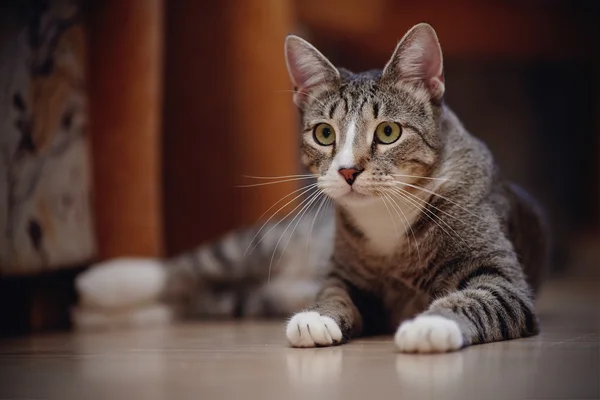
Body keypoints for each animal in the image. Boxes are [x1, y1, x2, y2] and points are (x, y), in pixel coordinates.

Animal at [74, 23, 548, 354]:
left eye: (389, 131)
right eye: (324, 134)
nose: (348, 171)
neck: (387, 220)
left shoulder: (503, 276)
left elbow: (481, 297)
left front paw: (431, 324)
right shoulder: (345, 275)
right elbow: (333, 292)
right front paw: (318, 317)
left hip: (251, 298)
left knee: (198, 298)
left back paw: (99, 312)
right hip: (267, 243)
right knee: (190, 269)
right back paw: (105, 283)